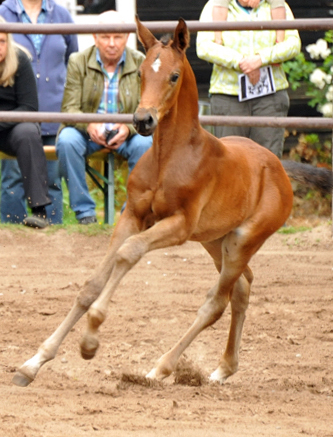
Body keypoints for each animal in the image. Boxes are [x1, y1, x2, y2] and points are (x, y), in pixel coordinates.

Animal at [12, 17, 330, 384]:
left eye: (174, 76)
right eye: (141, 73)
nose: (142, 120)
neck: (169, 158)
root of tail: (278, 167)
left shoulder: (177, 226)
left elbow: (128, 252)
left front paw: (90, 341)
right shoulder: (133, 216)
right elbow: (91, 285)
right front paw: (33, 362)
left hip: (242, 241)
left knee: (216, 302)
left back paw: (161, 368)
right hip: (215, 240)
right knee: (242, 287)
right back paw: (222, 369)